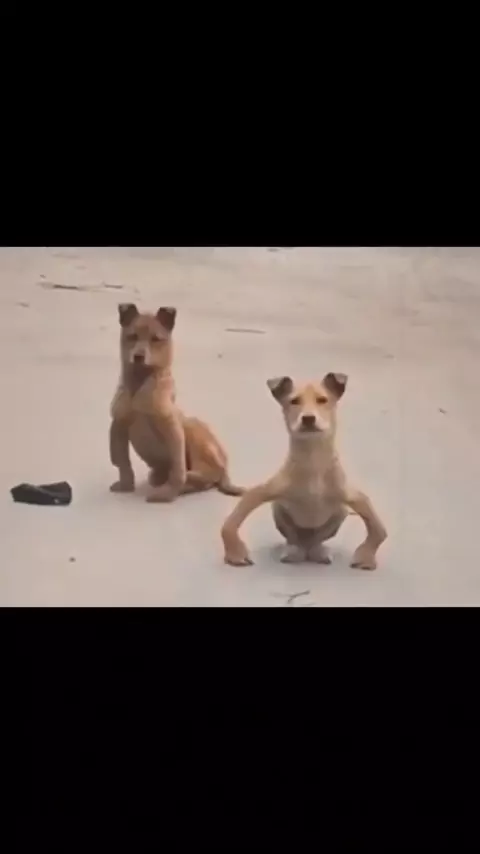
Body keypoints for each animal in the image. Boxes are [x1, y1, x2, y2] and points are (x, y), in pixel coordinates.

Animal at [109, 303, 243, 502]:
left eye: (156, 339)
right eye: (132, 336)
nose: (138, 356)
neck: (140, 383)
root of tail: (226, 469)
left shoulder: (173, 429)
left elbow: (177, 469)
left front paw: (168, 492)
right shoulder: (119, 425)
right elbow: (122, 461)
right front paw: (126, 484)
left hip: (193, 428)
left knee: (208, 474)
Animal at [221, 372, 387, 569]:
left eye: (322, 400)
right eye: (294, 401)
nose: (308, 418)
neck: (312, 462)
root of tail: (306, 544)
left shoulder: (355, 498)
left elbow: (380, 530)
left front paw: (366, 557)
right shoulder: (261, 492)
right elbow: (229, 524)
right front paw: (236, 553)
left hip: (340, 512)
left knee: (317, 540)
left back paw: (317, 551)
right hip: (278, 509)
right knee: (293, 539)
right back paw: (294, 551)